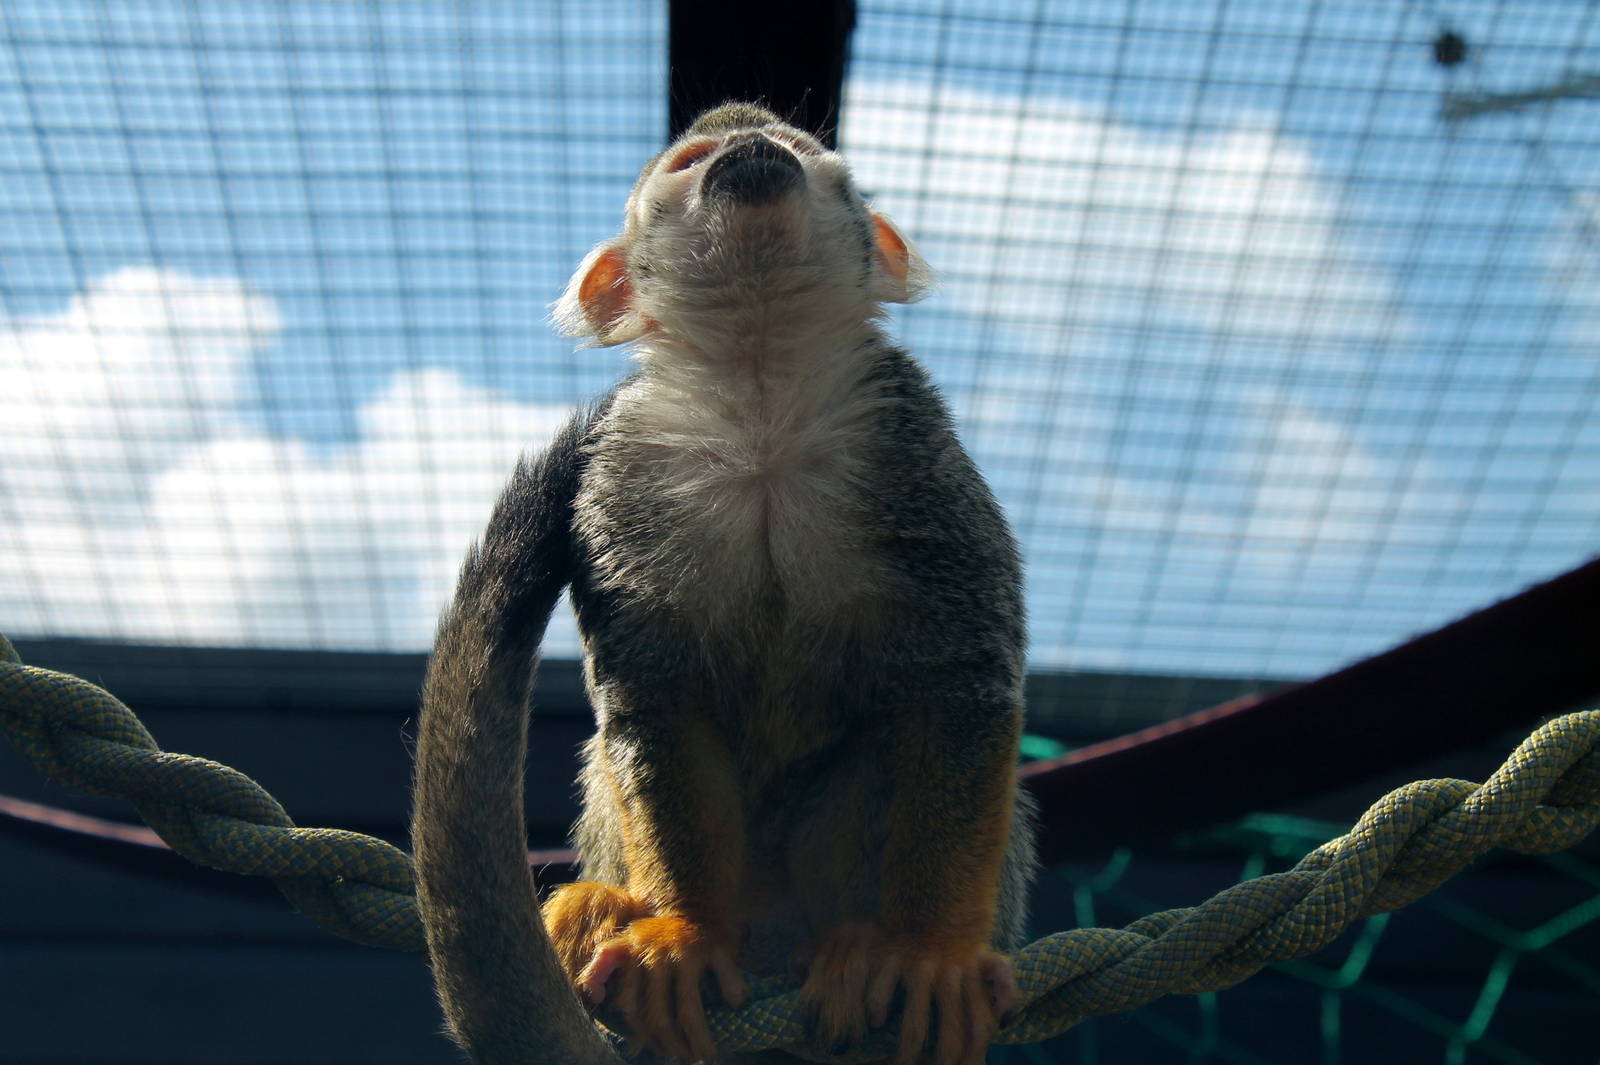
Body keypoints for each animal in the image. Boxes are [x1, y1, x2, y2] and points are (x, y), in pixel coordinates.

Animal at [412, 102, 1037, 1065]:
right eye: (694, 160)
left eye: (800, 153)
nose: (752, 152)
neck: (761, 389)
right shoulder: (619, 476)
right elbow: (652, 701)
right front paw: (686, 934)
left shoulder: (910, 435)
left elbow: (960, 677)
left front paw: (930, 951)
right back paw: (606, 910)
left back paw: (857, 947)